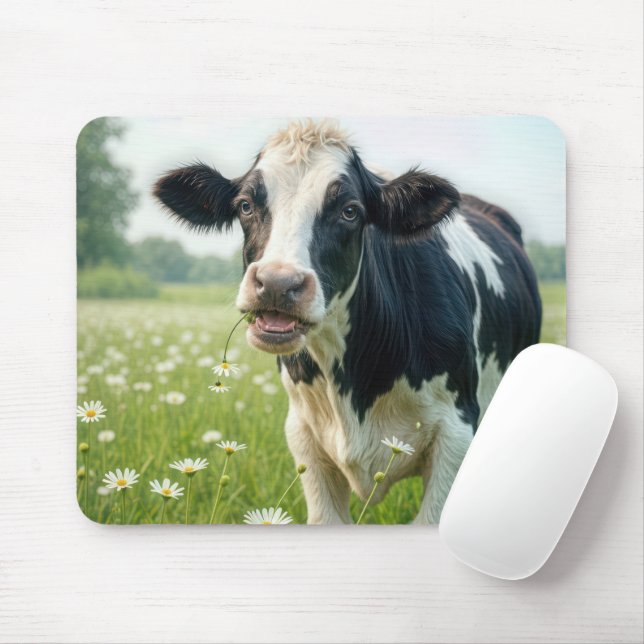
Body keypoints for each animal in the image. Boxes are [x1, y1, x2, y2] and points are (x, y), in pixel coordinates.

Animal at [154, 120, 542, 524]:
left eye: (350, 211)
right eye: (245, 205)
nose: (277, 283)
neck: (358, 383)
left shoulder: (457, 432)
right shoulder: (303, 434)